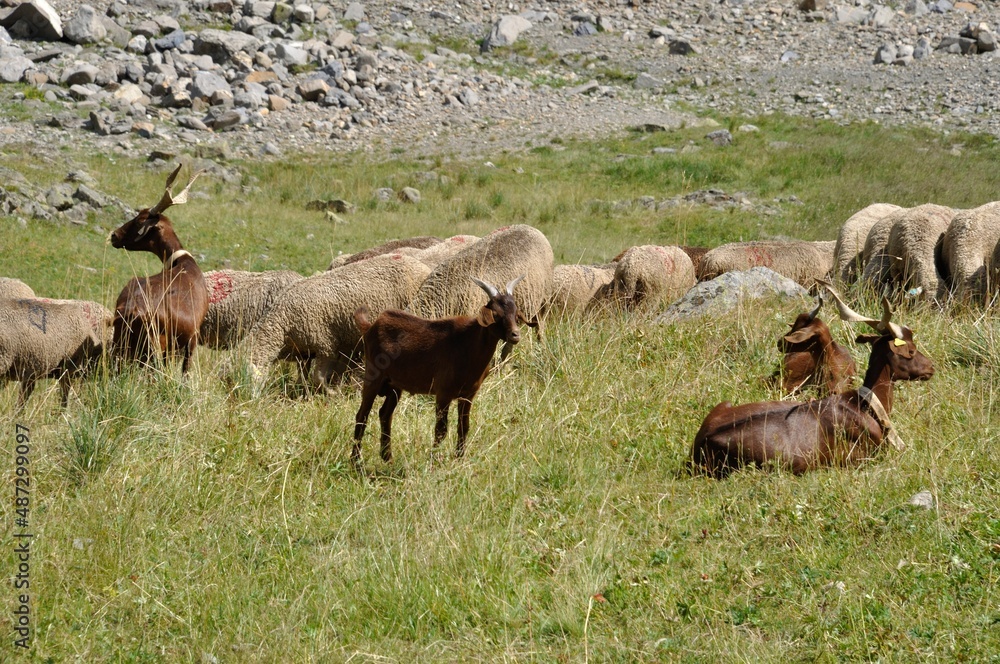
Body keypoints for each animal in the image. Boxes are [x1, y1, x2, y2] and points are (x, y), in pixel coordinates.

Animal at [109, 165, 208, 373]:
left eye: (140, 219)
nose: (114, 235)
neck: (183, 263)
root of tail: (131, 310)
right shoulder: (191, 340)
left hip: (121, 346)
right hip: (154, 350)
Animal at [238, 253, 432, 387]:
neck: (282, 321)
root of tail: (424, 267)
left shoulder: (326, 344)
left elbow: (318, 377)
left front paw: (330, 391)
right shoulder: (304, 351)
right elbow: (304, 375)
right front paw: (302, 390)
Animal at [351, 275, 525, 466]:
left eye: (515, 313)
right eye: (496, 314)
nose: (515, 335)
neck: (469, 345)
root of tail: (370, 326)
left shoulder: (468, 394)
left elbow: (463, 426)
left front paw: (459, 459)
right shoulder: (443, 393)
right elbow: (441, 428)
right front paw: (434, 461)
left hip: (394, 385)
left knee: (385, 414)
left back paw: (387, 458)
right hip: (373, 377)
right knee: (362, 415)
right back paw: (356, 462)